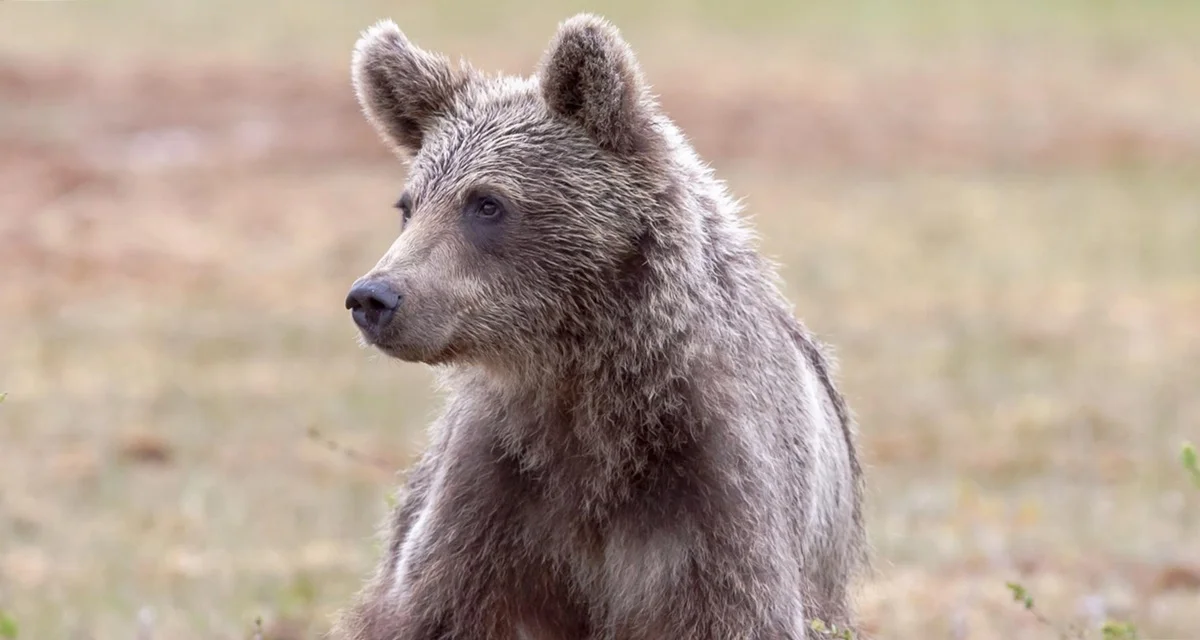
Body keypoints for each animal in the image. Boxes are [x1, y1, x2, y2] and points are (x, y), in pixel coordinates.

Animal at [333, 11, 868, 638]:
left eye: (487, 203)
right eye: (409, 205)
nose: (374, 297)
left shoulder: (716, 494)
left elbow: (733, 607)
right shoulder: (495, 497)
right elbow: (440, 607)